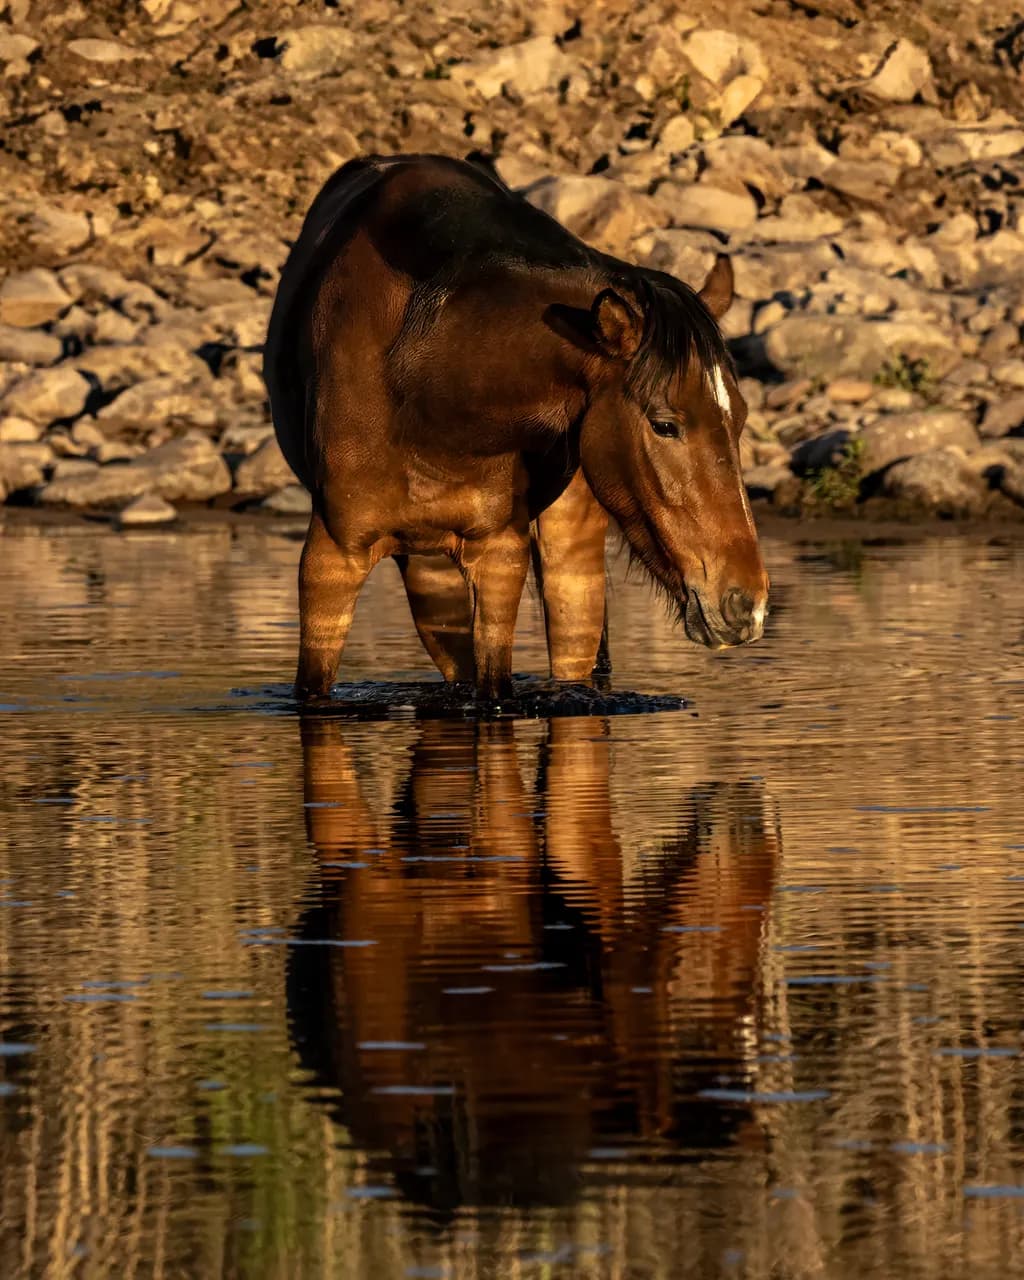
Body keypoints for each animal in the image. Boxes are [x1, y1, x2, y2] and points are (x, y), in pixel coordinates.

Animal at [264, 153, 769, 699]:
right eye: (665, 424)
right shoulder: (331, 559)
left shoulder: (500, 557)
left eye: (740, 418)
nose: (746, 604)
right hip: (429, 568)